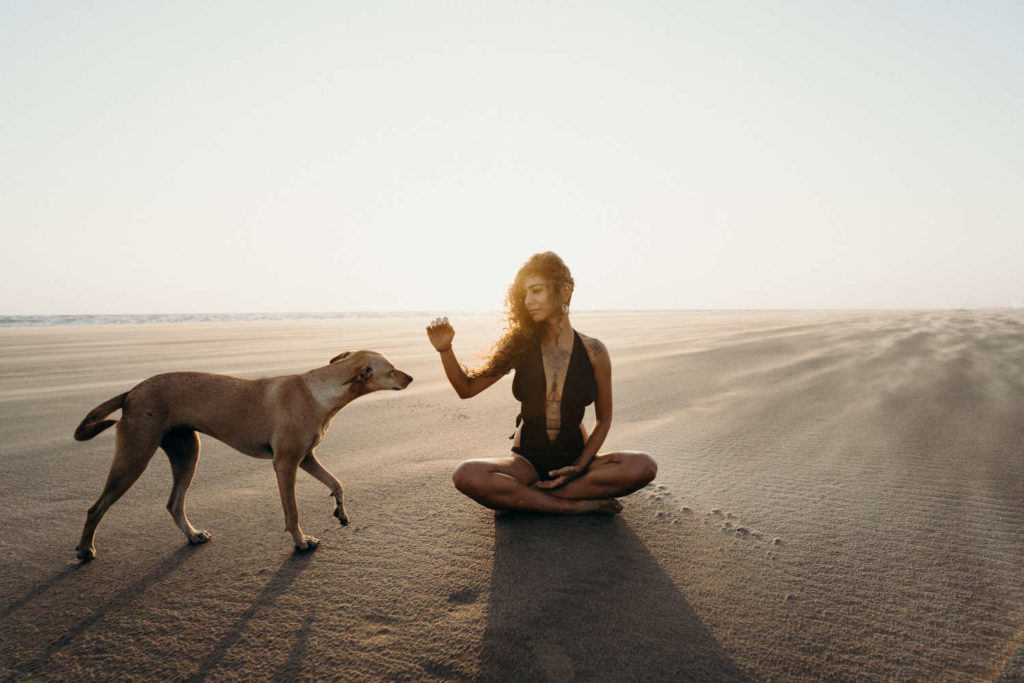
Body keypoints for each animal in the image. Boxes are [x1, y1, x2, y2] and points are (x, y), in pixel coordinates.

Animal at [70, 352, 413, 561]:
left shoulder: (306, 458)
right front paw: (301, 542)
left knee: (174, 503)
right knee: (95, 508)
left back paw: (193, 535)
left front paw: (340, 510)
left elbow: (337, 482)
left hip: (186, 452)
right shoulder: (286, 464)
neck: (316, 391)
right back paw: (85, 549)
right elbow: (292, 512)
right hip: (134, 455)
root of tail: (131, 392)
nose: (410, 378)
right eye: (391, 368)